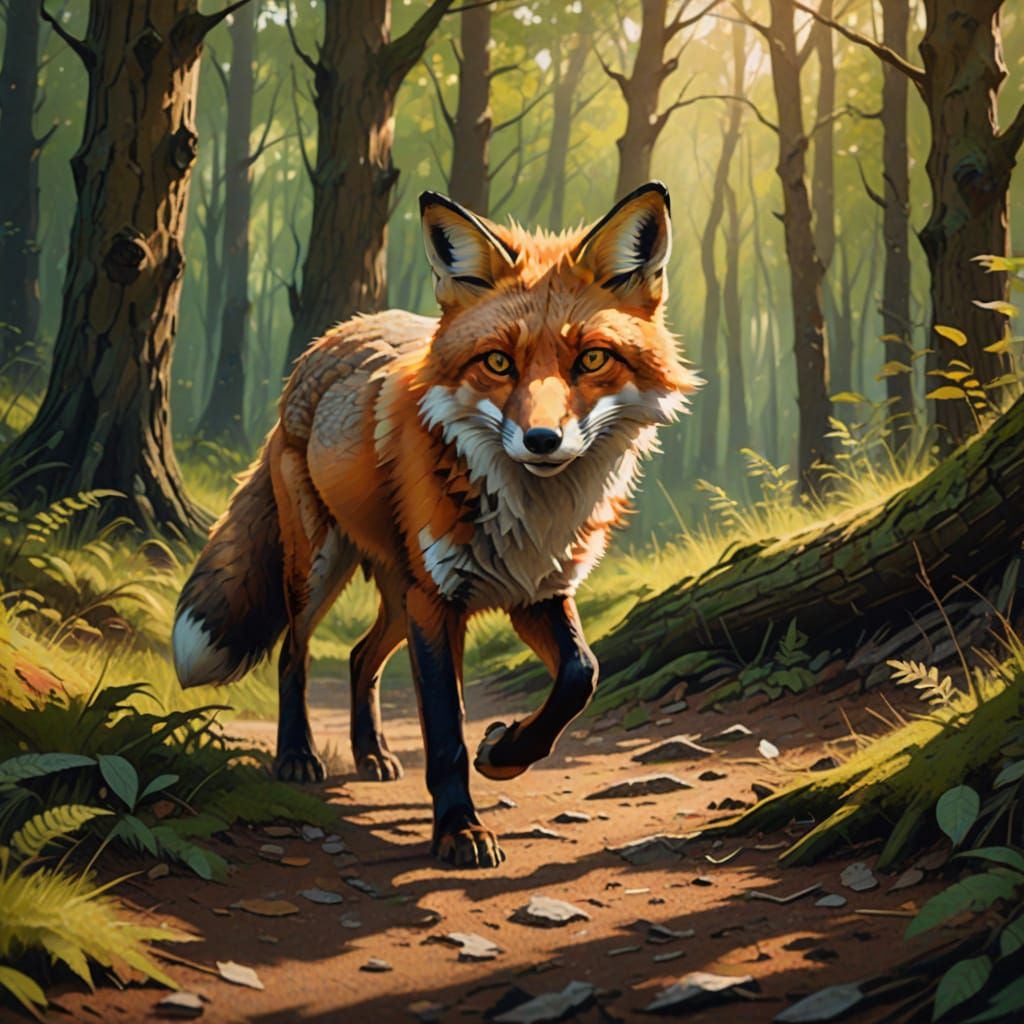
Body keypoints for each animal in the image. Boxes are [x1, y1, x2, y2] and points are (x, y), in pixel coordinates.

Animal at [173, 181, 698, 868]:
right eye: (498, 363)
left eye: (591, 359)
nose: (542, 440)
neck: (528, 513)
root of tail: (329, 339)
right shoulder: (439, 600)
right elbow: (447, 729)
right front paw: (459, 829)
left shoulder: (536, 591)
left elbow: (580, 676)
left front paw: (505, 753)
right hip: (322, 571)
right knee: (294, 654)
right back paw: (298, 756)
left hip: (399, 595)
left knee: (360, 656)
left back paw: (371, 752)